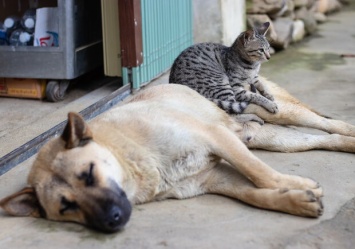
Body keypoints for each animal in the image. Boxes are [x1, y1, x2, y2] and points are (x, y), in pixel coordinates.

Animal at [0, 79, 355, 232]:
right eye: (66, 207)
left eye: (87, 174)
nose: (112, 220)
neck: (132, 155)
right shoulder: (215, 178)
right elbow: (255, 194)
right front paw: (296, 199)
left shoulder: (217, 138)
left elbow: (260, 173)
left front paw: (296, 185)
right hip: (275, 140)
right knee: (322, 139)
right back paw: (346, 144)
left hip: (281, 114)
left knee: (328, 123)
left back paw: (349, 131)